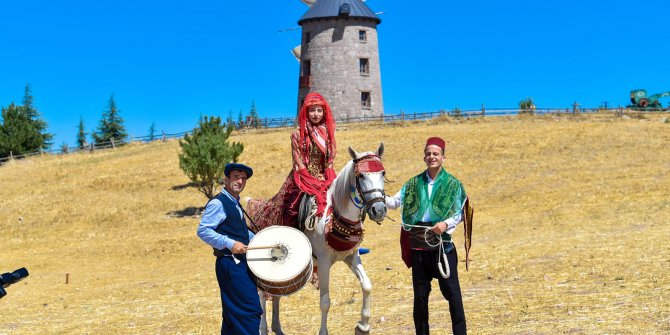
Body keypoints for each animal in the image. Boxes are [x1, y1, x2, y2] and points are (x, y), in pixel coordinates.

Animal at [260, 144, 388, 335]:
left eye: (383, 173)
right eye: (361, 176)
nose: (378, 209)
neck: (335, 216)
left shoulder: (351, 256)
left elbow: (366, 285)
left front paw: (363, 325)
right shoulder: (324, 262)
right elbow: (325, 302)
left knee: (276, 293)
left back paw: (277, 328)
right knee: (261, 293)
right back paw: (262, 328)